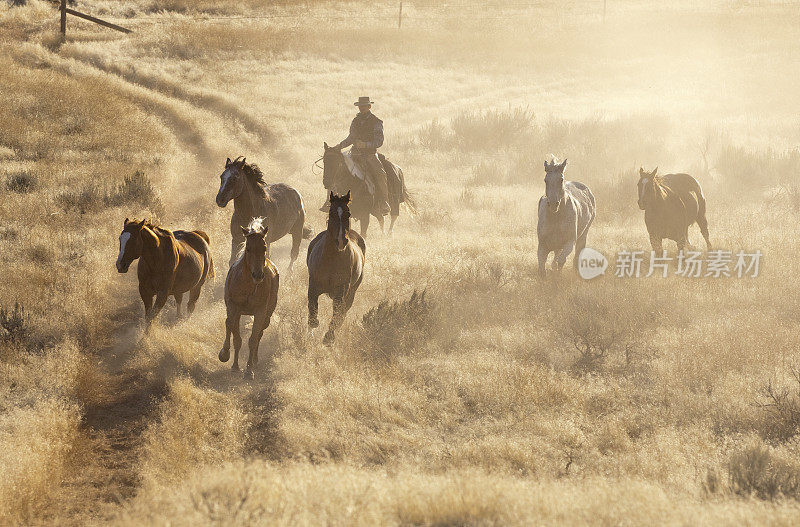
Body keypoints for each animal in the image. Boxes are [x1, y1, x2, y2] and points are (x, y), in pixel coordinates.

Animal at [220, 217, 280, 382]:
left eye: (264, 248)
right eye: (248, 248)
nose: (258, 275)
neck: (248, 285)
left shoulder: (260, 312)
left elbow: (252, 340)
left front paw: (248, 370)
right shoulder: (234, 307)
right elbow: (235, 334)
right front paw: (229, 360)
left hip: (267, 316)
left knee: (259, 335)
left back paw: (254, 360)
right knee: (231, 326)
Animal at [308, 192, 368, 344]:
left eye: (348, 213)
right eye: (331, 212)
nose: (341, 241)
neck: (331, 259)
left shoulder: (342, 290)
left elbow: (337, 313)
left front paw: (328, 338)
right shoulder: (313, 286)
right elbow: (312, 311)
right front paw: (312, 329)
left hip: (352, 292)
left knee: (343, 312)